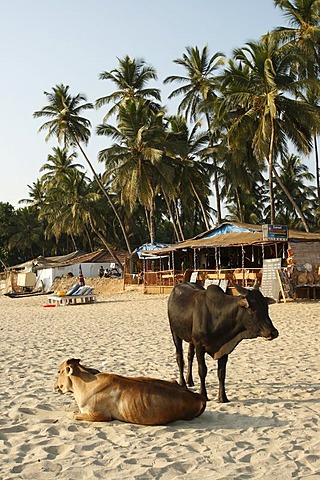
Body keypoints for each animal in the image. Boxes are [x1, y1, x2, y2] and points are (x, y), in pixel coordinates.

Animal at [54, 358, 205, 426]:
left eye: (59, 371)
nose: (55, 386)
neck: (84, 384)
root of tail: (198, 396)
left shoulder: (100, 415)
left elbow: (74, 415)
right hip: (173, 380)